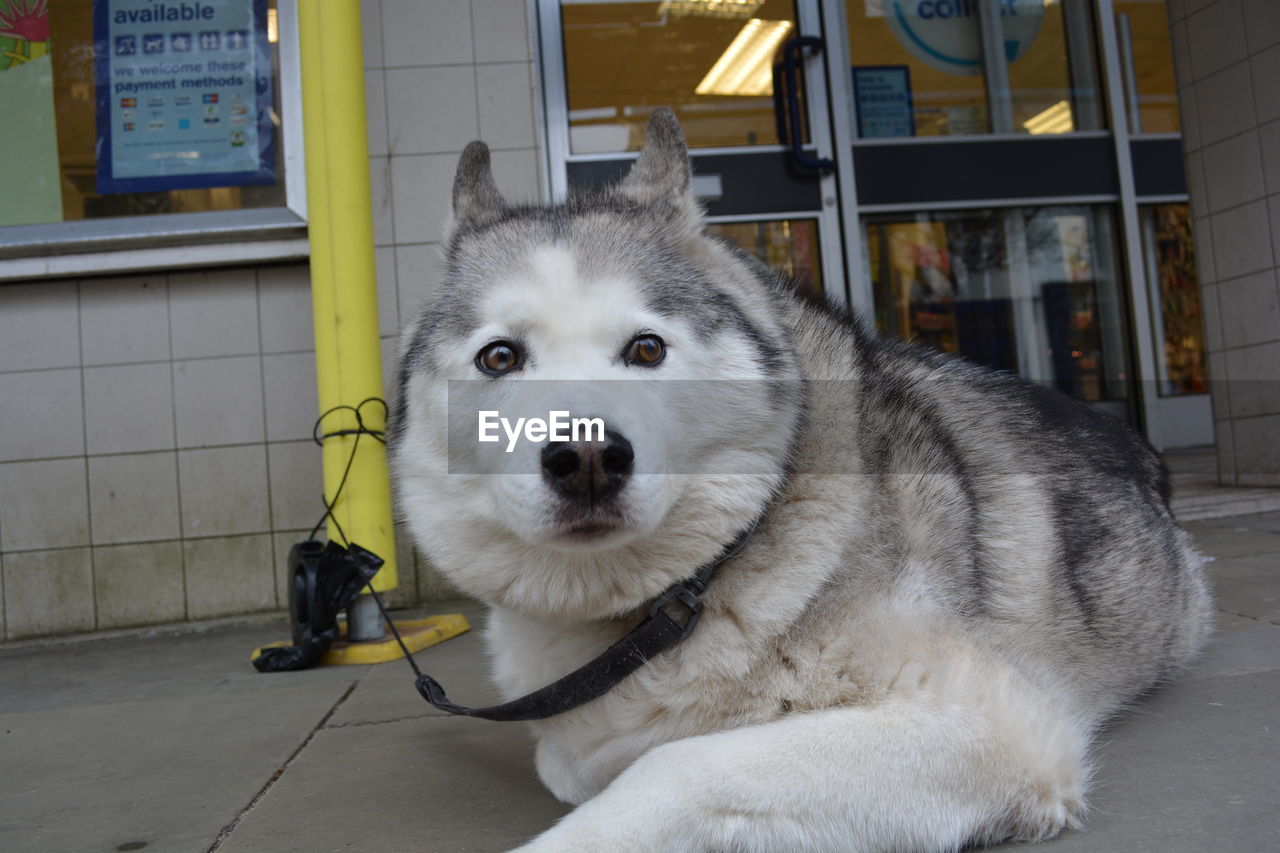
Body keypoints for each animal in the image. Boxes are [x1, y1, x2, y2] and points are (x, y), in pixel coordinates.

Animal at [389, 109, 1208, 845]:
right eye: (499, 357)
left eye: (646, 348)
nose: (586, 457)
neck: (685, 596)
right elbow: (575, 761)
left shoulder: (984, 721)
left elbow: (677, 765)